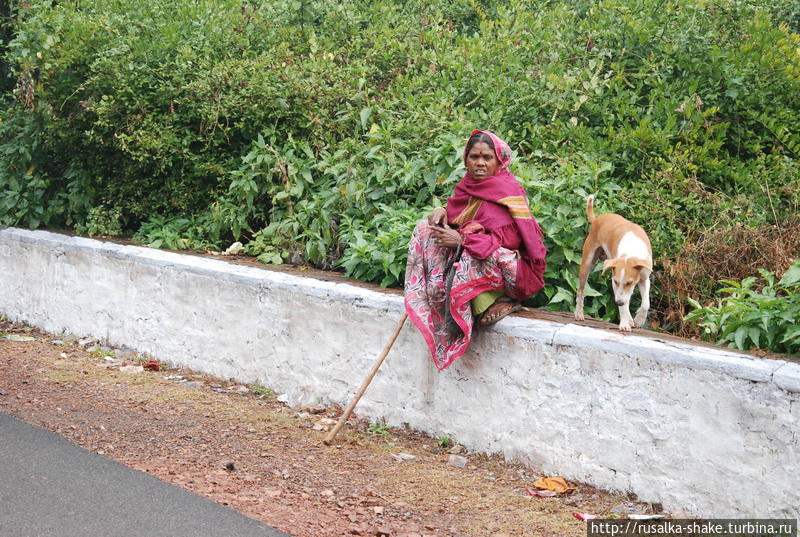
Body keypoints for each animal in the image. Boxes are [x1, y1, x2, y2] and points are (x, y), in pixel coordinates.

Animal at [580, 196, 652, 330]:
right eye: (616, 281)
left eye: (629, 282)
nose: (617, 302)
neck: (631, 250)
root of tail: (597, 219)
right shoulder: (615, 283)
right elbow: (623, 307)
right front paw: (624, 324)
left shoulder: (644, 279)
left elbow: (646, 303)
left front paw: (639, 320)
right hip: (586, 265)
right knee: (580, 292)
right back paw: (578, 314)